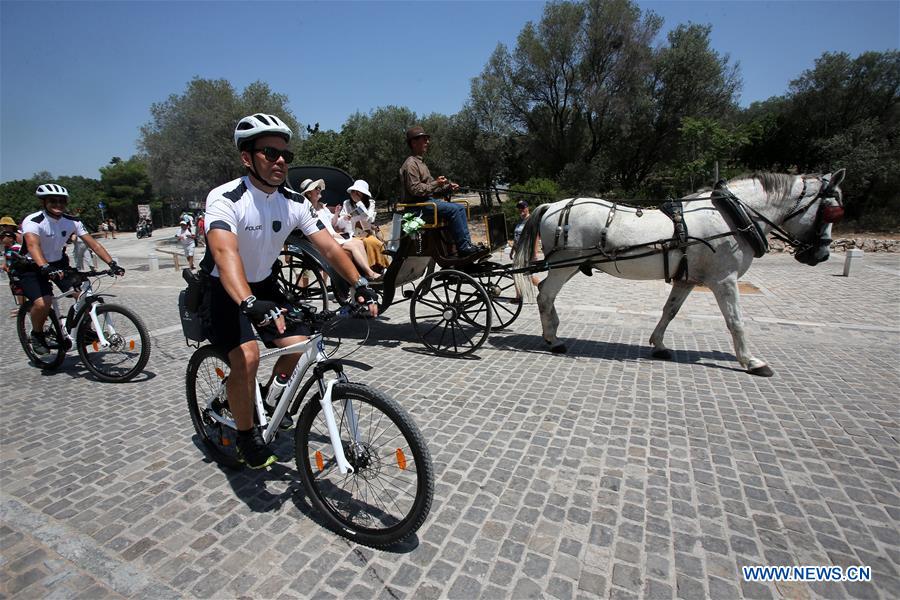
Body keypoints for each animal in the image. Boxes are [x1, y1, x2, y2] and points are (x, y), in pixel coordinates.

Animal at [512, 171, 844, 376]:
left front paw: (658, 345)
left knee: (546, 293)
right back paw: (553, 340)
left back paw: (553, 332)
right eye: (831, 211)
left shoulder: (687, 280)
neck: (730, 217)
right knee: (545, 295)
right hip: (566, 264)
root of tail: (553, 204)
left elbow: (669, 312)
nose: (822, 255)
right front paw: (750, 361)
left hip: (568, 266)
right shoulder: (724, 280)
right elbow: (735, 321)